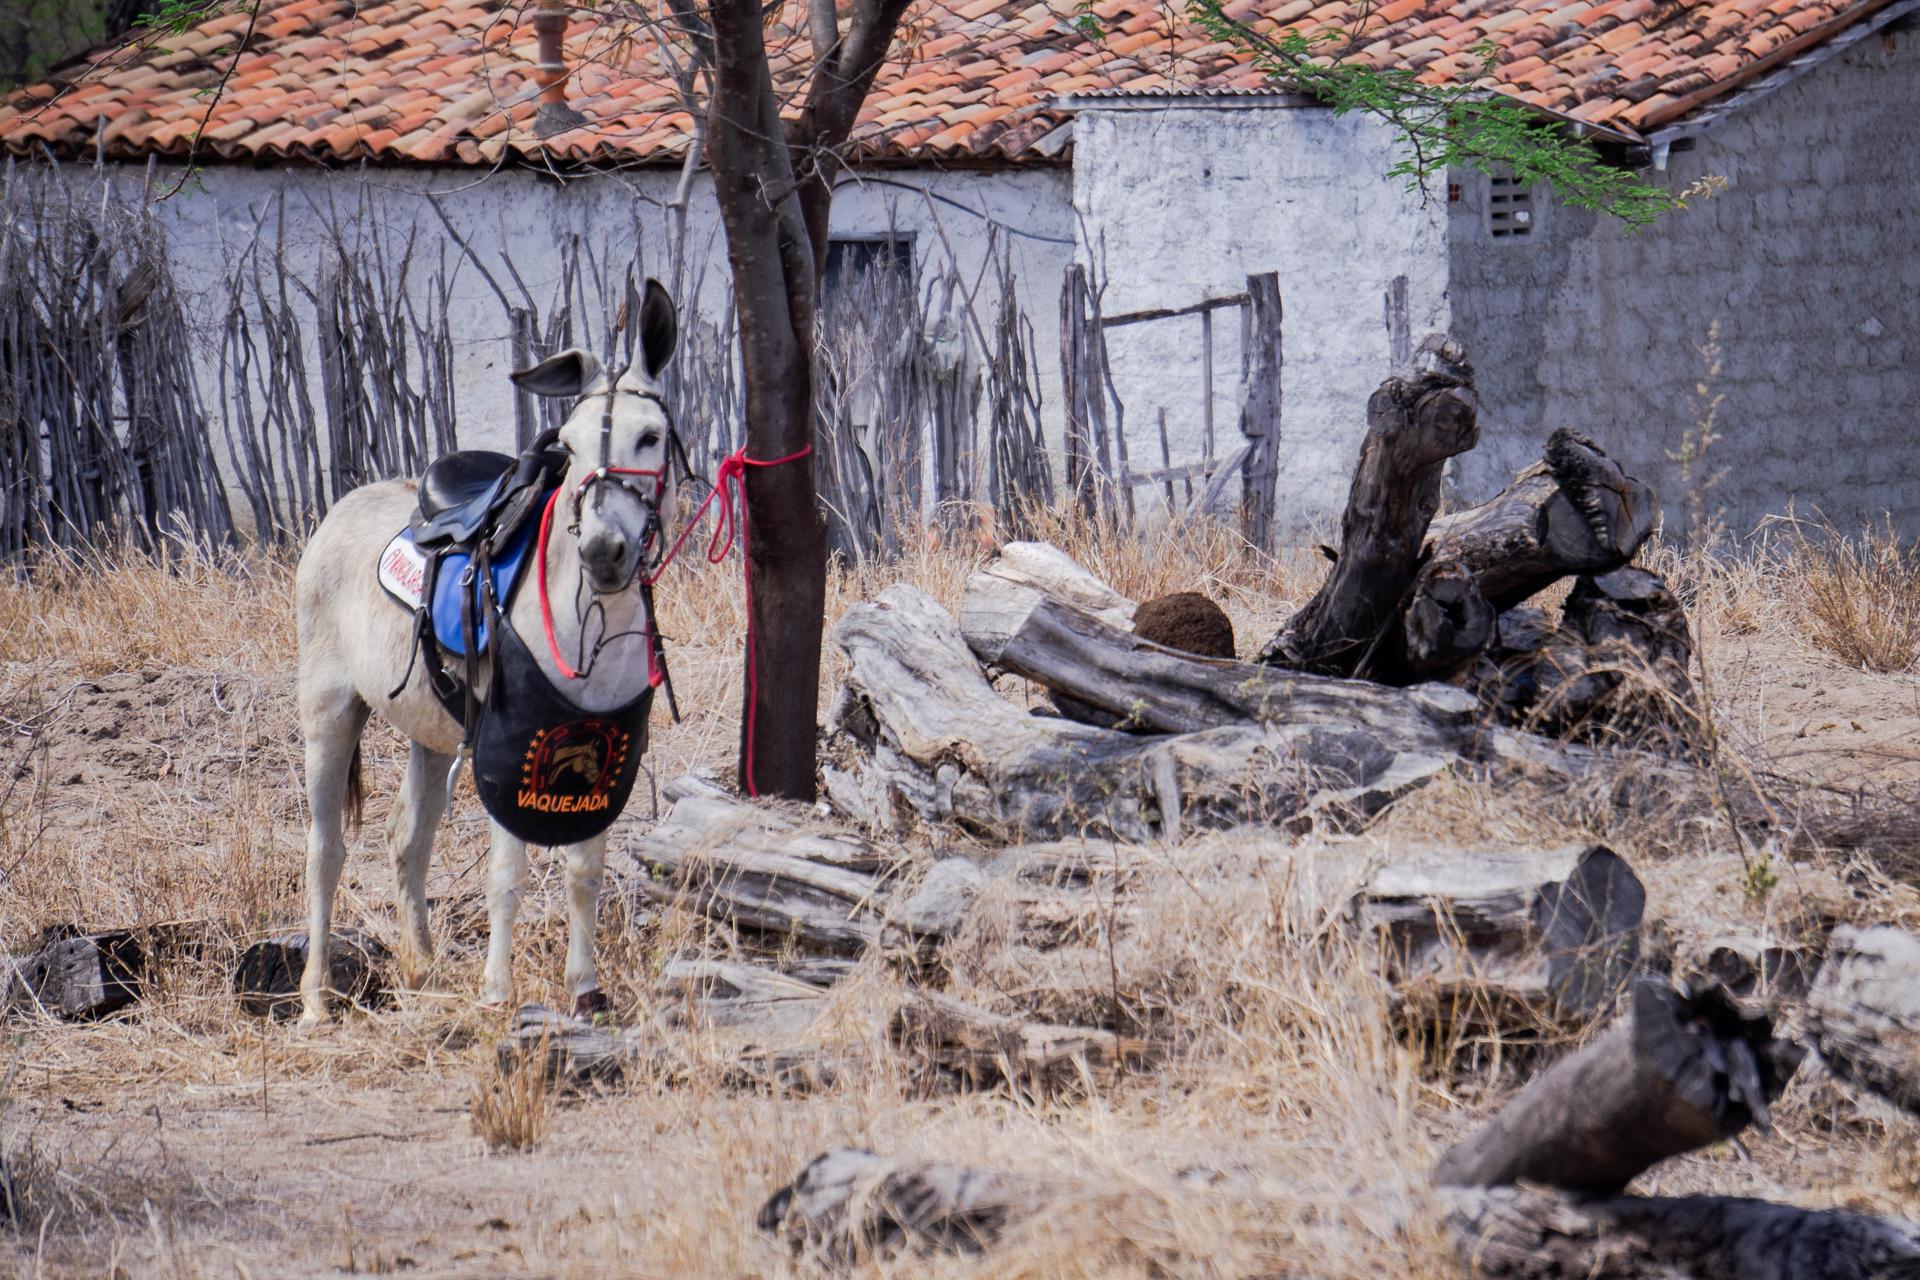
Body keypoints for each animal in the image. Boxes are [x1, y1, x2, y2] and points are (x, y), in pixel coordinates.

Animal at [293, 281, 681, 1026]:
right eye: (568, 445)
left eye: (650, 437)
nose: (603, 551)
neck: (586, 618)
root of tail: (341, 507)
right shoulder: (506, 750)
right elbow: (509, 874)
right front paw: (498, 993)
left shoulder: (606, 754)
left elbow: (584, 872)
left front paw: (586, 991)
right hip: (328, 710)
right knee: (326, 850)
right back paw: (316, 1001)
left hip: (430, 733)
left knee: (407, 840)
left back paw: (423, 967)